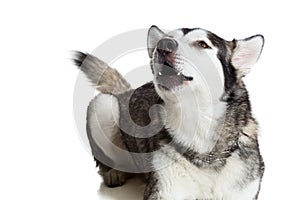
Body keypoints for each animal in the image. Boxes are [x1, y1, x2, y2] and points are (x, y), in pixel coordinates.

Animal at [73, 25, 264, 199]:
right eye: (168, 38)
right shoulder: (163, 191)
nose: (163, 45)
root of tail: (128, 91)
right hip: (102, 105)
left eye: (202, 44)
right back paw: (115, 172)